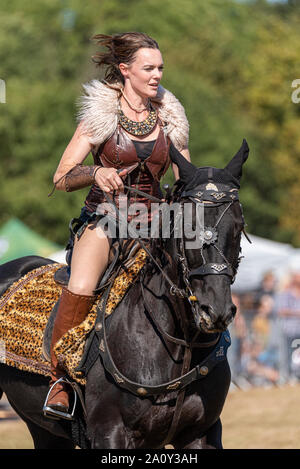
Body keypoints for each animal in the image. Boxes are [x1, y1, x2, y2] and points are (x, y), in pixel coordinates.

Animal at [0, 141, 248, 448]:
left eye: (238, 226)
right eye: (186, 226)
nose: (215, 311)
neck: (181, 341)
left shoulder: (202, 432)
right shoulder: (110, 431)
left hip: (44, 431)